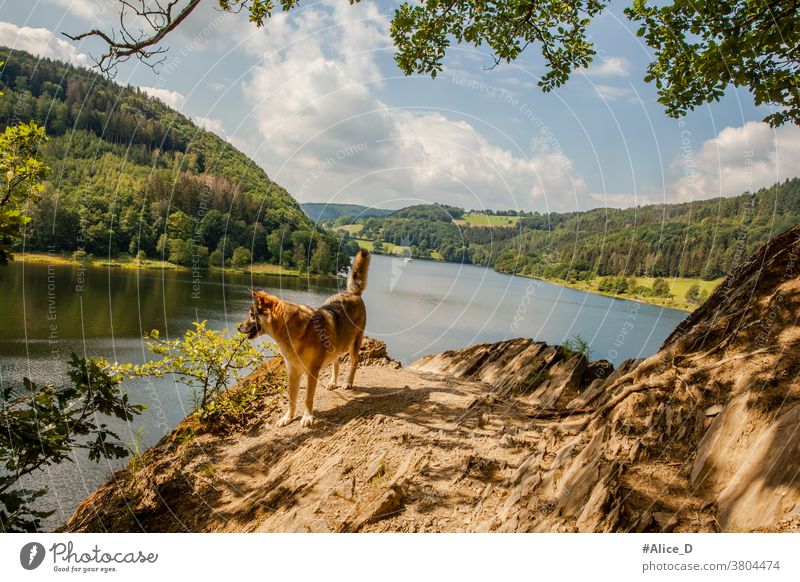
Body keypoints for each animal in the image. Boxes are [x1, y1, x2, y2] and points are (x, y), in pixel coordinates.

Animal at [236, 250, 370, 428]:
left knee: (354, 363)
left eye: (252, 315)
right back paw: (333, 382)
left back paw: (348, 382)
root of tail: (351, 293)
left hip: (353, 345)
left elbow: (307, 398)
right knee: (336, 362)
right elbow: (292, 399)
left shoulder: (311, 372)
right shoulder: (293, 371)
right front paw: (288, 418)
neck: (292, 331)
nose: (238, 328)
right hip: (336, 346)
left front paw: (307, 417)